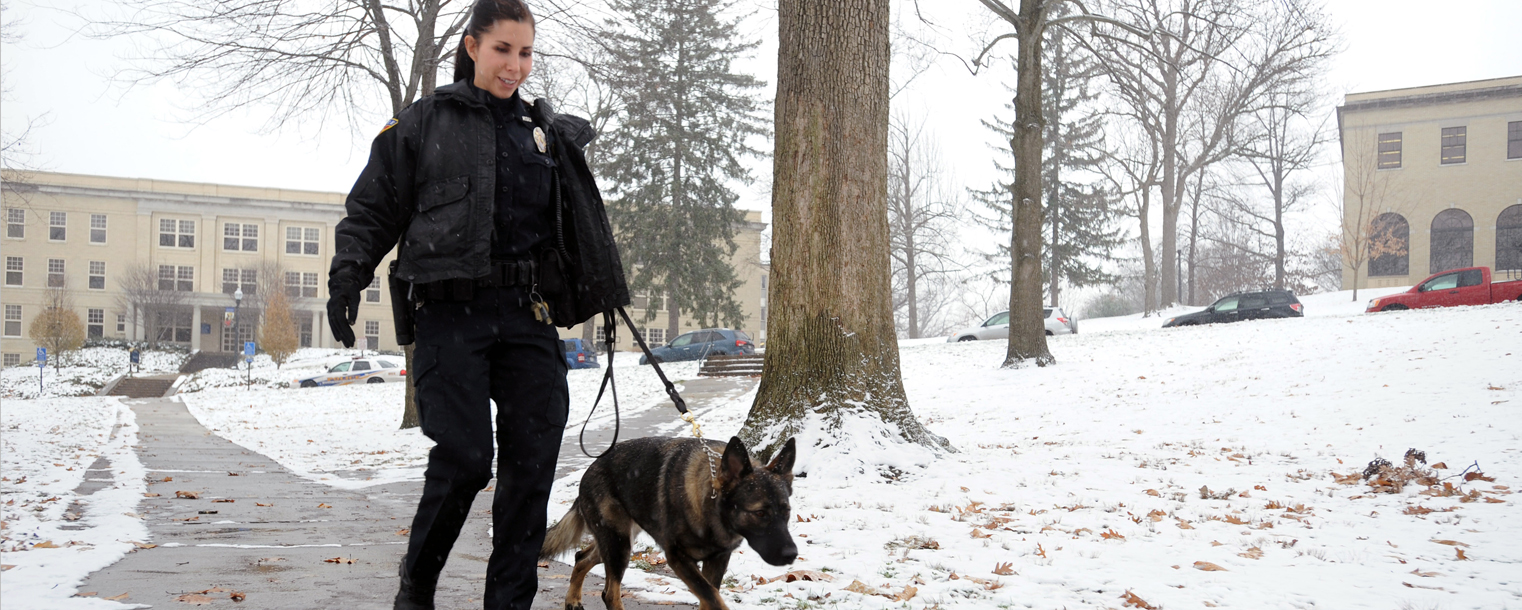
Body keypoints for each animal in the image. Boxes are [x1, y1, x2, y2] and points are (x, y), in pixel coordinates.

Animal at [538, 435, 797, 608]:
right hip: (618, 545)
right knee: (609, 593)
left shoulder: (717, 560)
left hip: (618, 541)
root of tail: (589, 469)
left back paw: (572, 600)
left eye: (786, 511)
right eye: (760, 513)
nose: (792, 555)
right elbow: (713, 598)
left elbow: (709, 598)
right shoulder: (678, 558)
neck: (709, 505)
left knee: (581, 557)